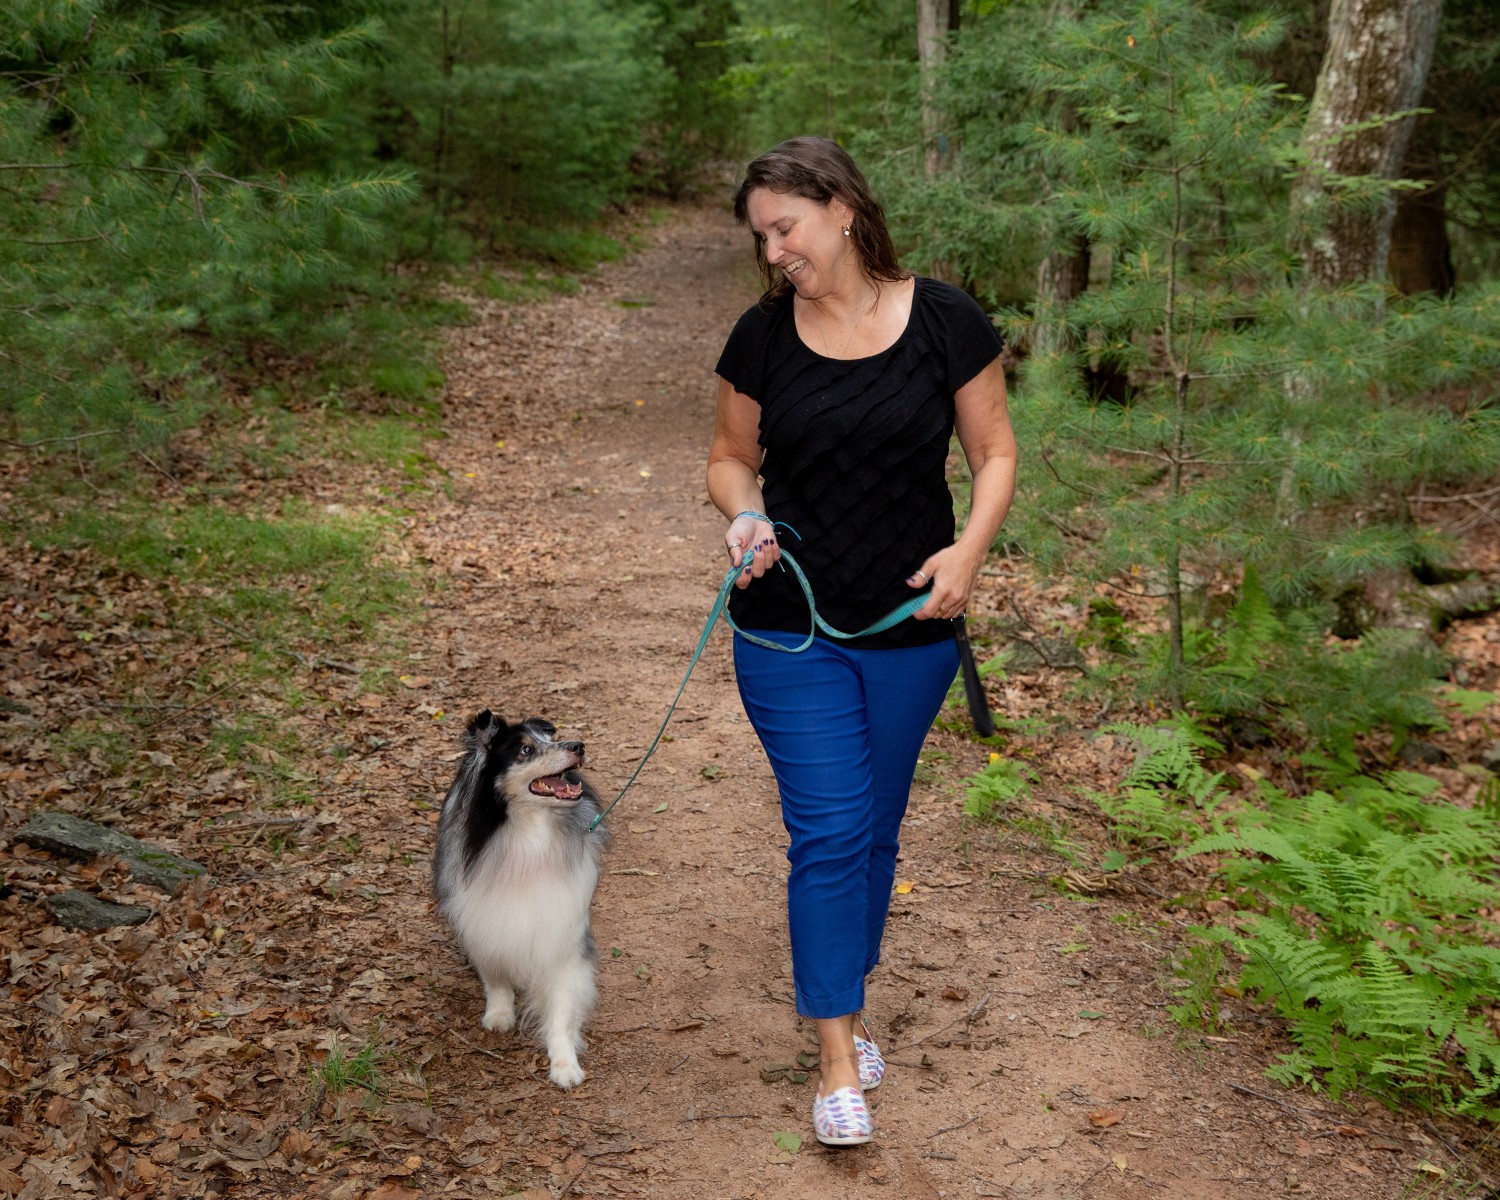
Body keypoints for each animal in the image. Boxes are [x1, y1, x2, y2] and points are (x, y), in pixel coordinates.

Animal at [432, 708, 606, 1092]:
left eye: (550, 738)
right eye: (526, 750)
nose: (579, 745)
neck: (528, 836)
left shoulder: (564, 940)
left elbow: (561, 1010)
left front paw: (564, 1065)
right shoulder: (485, 921)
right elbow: (495, 976)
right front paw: (499, 1014)